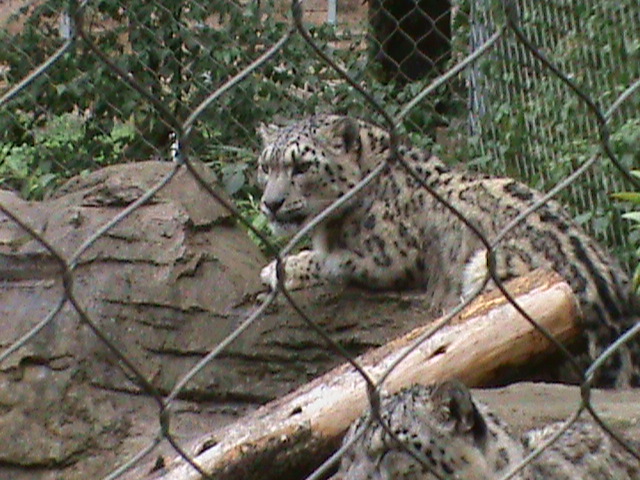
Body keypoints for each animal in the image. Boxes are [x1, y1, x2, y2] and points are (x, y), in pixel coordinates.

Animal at [255, 114, 640, 387]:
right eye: (265, 165)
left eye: (302, 166)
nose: (271, 203)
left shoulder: (387, 256)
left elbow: (329, 262)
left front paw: (280, 269)